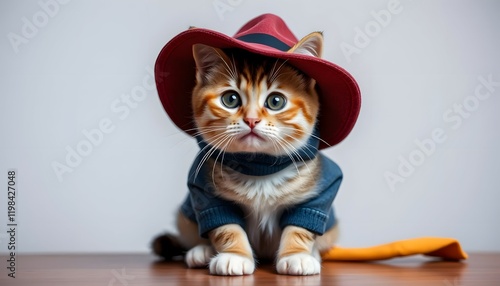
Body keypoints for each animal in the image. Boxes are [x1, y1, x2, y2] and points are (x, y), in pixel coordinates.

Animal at [151, 31, 340, 274]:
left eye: (276, 101)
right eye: (230, 99)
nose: (251, 120)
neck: (258, 167)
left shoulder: (319, 192)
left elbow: (302, 227)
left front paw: (297, 255)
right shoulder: (204, 192)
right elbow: (225, 227)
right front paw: (234, 255)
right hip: (185, 218)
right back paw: (201, 251)